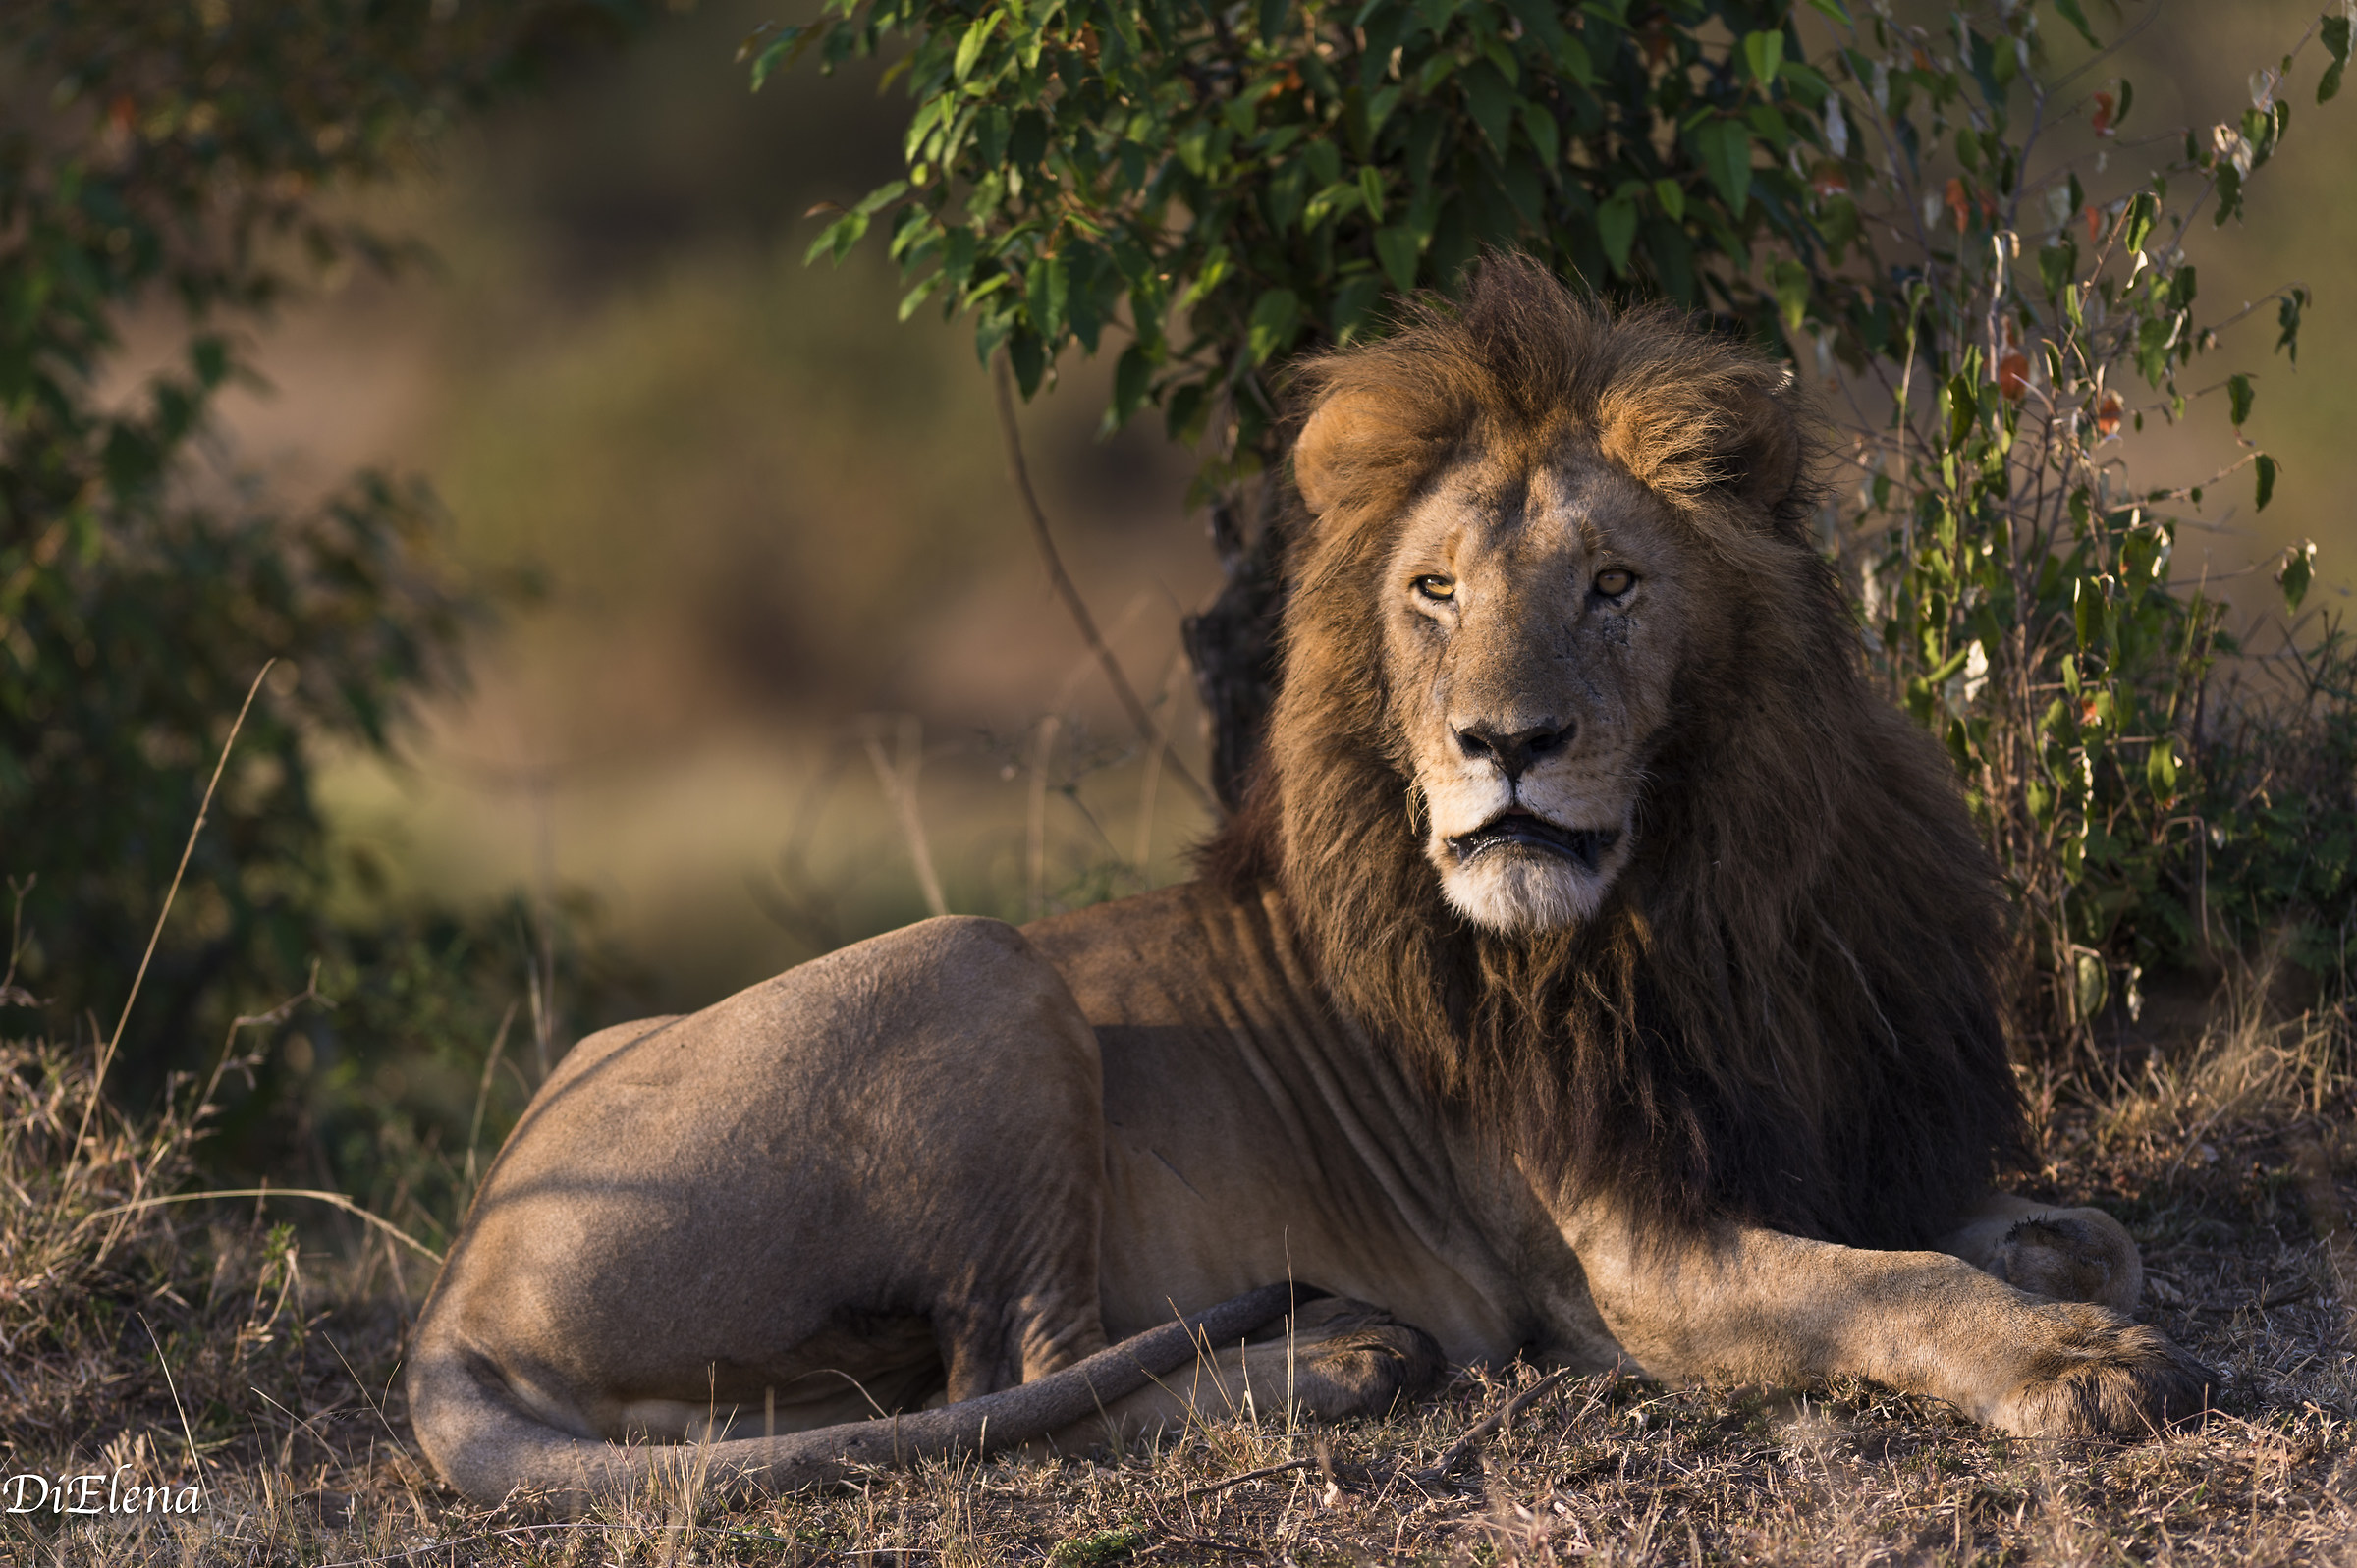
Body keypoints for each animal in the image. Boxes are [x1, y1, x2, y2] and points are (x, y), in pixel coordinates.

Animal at [407, 258, 2213, 1509]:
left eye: (1614, 584)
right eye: (1435, 592)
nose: (1504, 741)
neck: (1709, 901)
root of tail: (463, 1273)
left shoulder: (1830, 1136)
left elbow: (2077, 1234)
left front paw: (2061, 1279)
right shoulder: (1629, 1262)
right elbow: (1890, 1284)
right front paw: (2066, 1364)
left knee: (927, 1395)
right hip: (982, 965)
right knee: (1030, 1371)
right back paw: (1348, 1351)